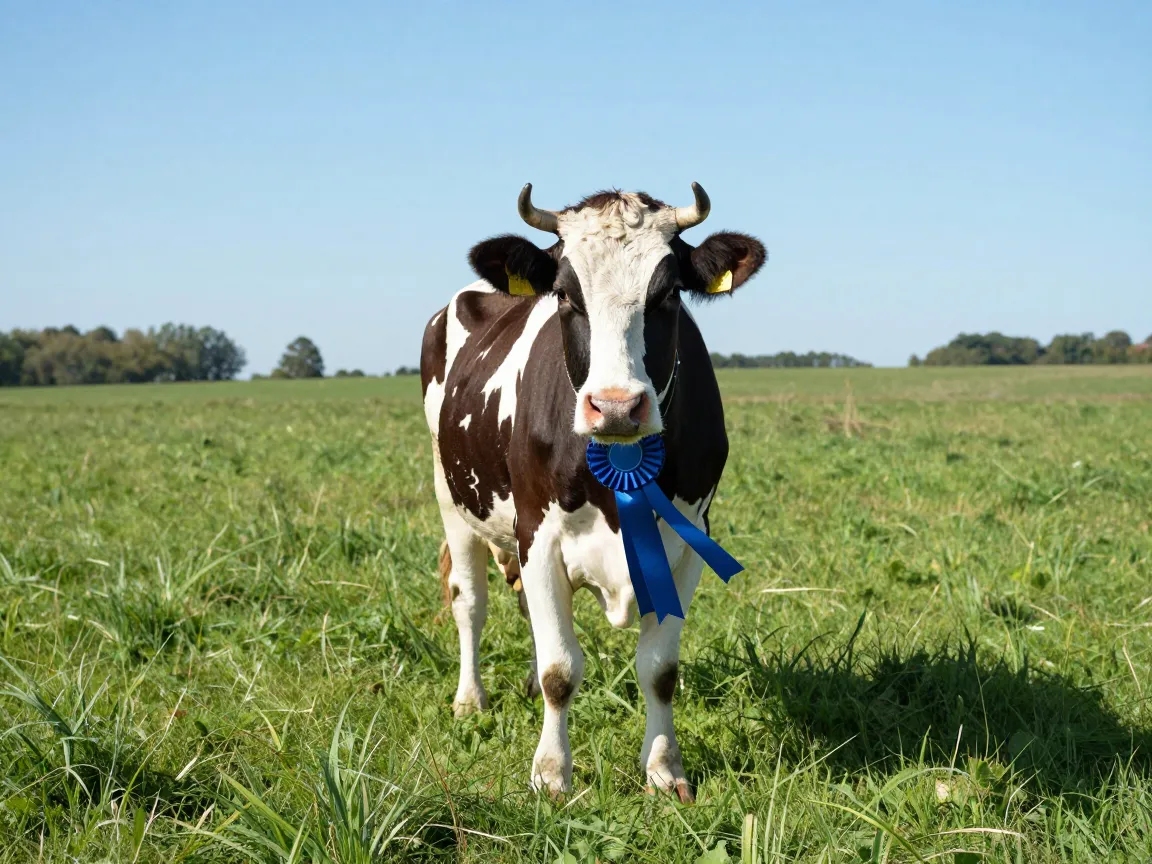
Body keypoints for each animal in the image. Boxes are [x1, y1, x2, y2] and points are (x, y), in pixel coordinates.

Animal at [420, 183, 766, 800]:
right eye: (564, 294)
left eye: (668, 293)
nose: (617, 406)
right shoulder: (538, 535)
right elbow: (561, 670)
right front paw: (551, 773)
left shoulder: (686, 544)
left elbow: (659, 670)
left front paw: (664, 770)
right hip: (451, 500)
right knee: (469, 602)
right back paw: (470, 699)